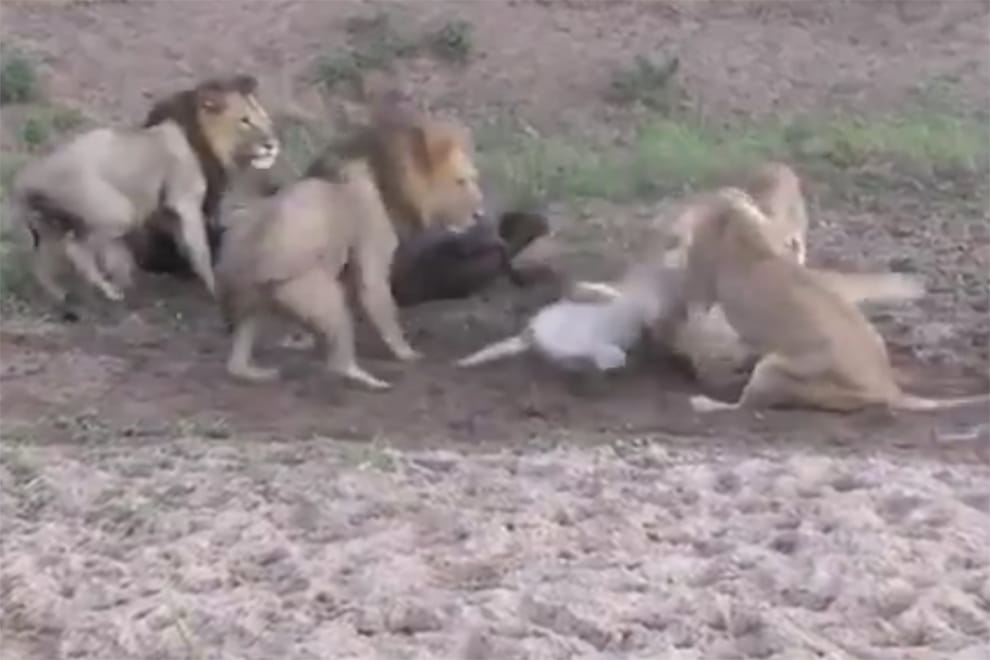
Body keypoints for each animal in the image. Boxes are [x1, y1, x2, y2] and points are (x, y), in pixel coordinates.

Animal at [11, 75, 279, 319]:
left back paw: (60, 296)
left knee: (41, 262)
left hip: (49, 224)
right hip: (118, 211)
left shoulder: (169, 211)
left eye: (265, 120)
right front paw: (214, 289)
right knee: (76, 249)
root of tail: (28, 180)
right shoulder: (185, 202)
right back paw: (109, 292)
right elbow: (200, 249)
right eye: (245, 121)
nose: (272, 145)